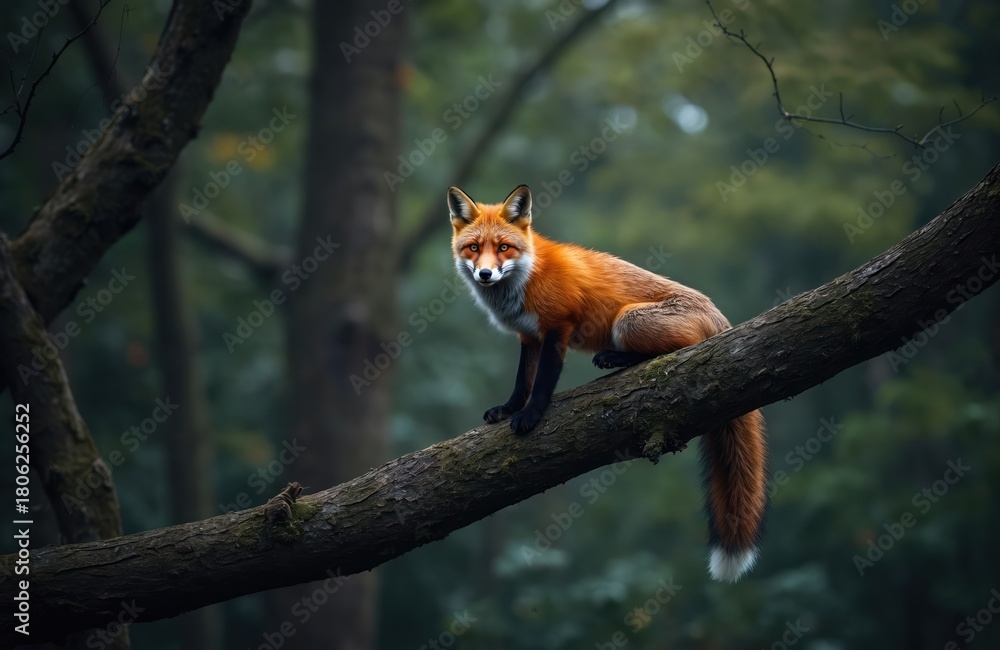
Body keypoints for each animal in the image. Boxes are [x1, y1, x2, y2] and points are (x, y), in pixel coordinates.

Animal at [448, 184, 767, 583]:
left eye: (504, 247)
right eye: (474, 248)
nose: (486, 274)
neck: (527, 277)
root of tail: (721, 319)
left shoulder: (558, 327)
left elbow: (542, 384)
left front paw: (532, 416)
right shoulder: (530, 337)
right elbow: (522, 382)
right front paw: (508, 409)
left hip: (627, 320)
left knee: (679, 351)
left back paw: (615, 359)